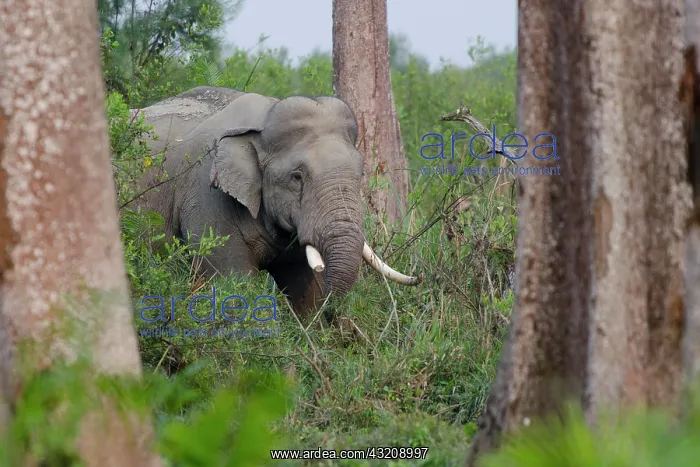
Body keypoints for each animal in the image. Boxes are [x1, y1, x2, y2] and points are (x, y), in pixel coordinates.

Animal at [130, 86, 422, 317]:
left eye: (361, 173)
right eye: (297, 177)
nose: (419, 276)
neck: (262, 119)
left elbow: (304, 287)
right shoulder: (207, 196)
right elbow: (234, 285)